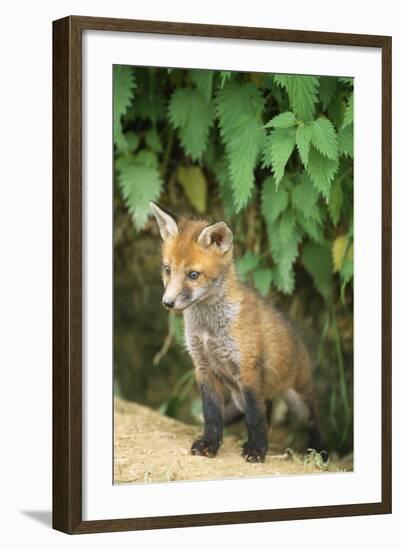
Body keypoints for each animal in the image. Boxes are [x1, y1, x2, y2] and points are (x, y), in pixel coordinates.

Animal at [150, 201, 324, 464]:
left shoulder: (247, 369)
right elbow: (212, 414)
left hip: (298, 401)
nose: (167, 303)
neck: (209, 329)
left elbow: (255, 418)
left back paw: (319, 453)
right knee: (267, 409)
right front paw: (210, 444)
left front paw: (257, 450)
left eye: (193, 275)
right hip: (243, 396)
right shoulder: (203, 368)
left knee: (313, 419)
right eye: (167, 269)